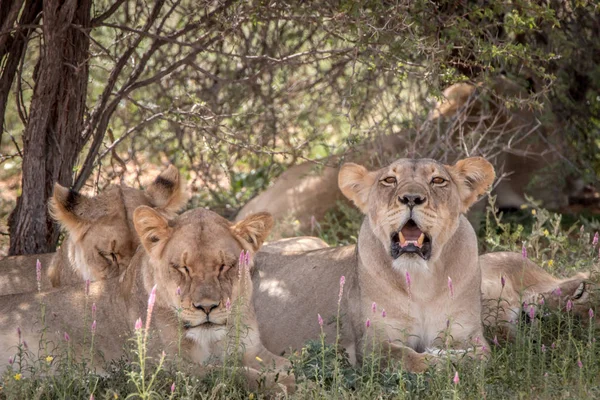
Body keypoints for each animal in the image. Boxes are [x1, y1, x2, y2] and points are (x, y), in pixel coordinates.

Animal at [0, 208, 292, 392]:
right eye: (182, 268)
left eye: (224, 266)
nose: (206, 307)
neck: (211, 339)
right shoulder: (165, 369)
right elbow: (236, 374)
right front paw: (284, 384)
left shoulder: (253, 350)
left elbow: (290, 363)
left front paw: (297, 374)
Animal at [251, 156, 494, 372]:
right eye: (389, 180)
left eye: (438, 180)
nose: (411, 198)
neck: (420, 280)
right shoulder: (372, 342)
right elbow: (412, 359)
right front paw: (437, 356)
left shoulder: (468, 333)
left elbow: (478, 357)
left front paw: (448, 355)